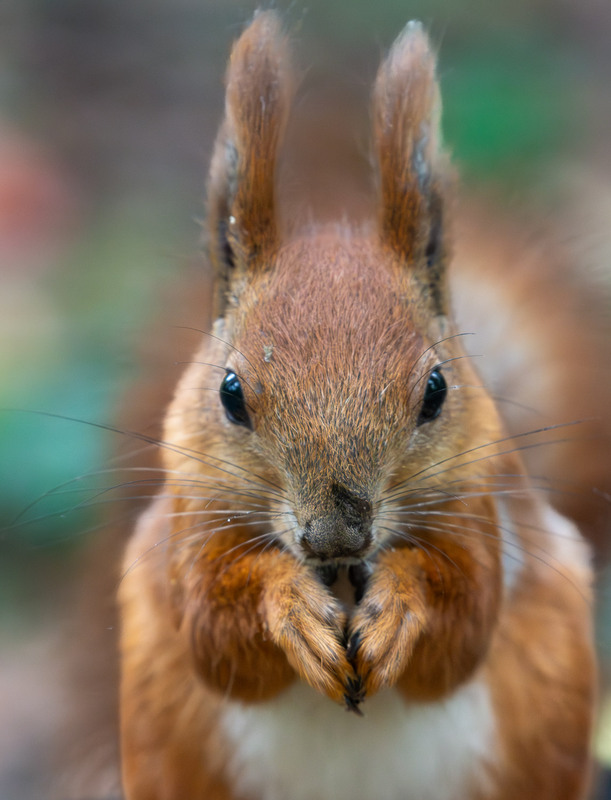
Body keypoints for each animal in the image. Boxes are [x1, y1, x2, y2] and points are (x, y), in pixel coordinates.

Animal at [118, 14, 596, 800]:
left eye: (435, 390)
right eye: (230, 393)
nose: (336, 536)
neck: (342, 576)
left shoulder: (481, 511)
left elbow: (464, 618)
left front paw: (400, 605)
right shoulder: (186, 533)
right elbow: (214, 632)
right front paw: (287, 607)